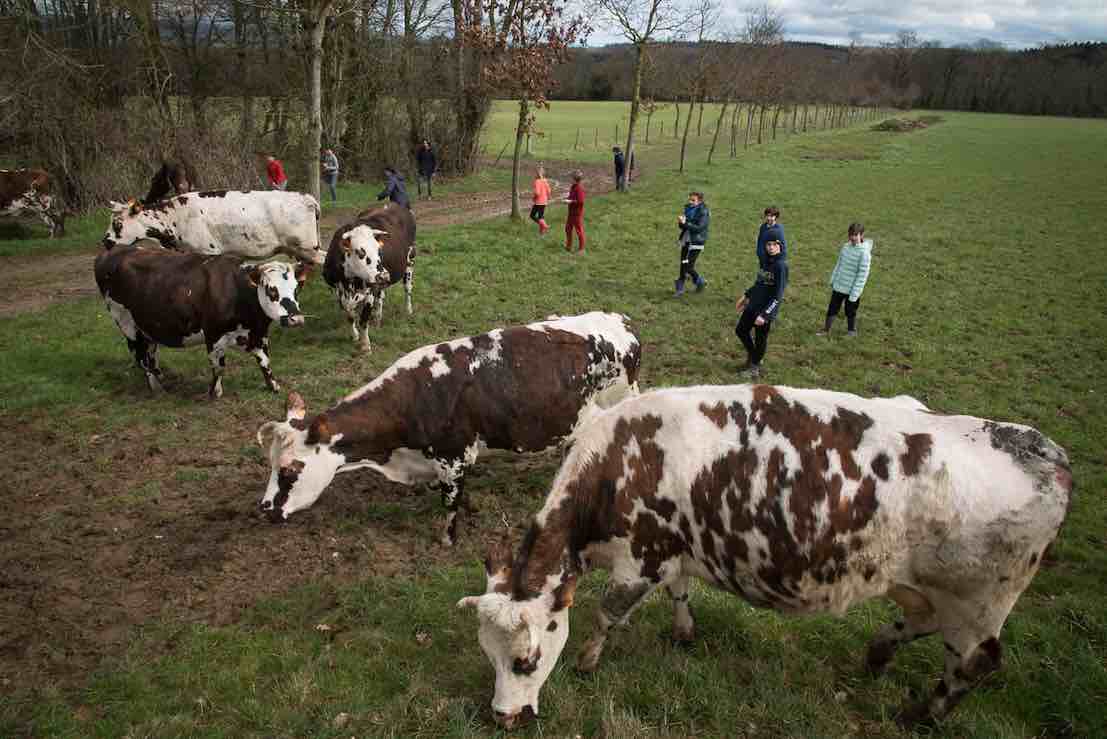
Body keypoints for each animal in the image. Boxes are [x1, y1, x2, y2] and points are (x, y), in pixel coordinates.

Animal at [95, 242, 309, 398]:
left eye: (297, 289)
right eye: (271, 290)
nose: (296, 318)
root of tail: (113, 251)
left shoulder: (259, 334)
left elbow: (265, 362)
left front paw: (273, 386)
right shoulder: (213, 335)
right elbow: (219, 367)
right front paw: (215, 392)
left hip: (147, 326)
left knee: (150, 352)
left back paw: (159, 374)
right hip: (126, 323)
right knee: (140, 356)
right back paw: (156, 387)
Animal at [102, 189, 323, 264]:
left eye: (117, 223)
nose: (105, 241)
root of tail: (306, 198)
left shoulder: (208, 252)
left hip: (307, 248)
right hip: (300, 250)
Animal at [255, 309, 646, 546]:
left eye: (289, 471)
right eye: (271, 466)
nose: (265, 510)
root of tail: (619, 320)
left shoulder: (453, 457)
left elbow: (450, 501)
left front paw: (448, 538)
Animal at [327, 202, 418, 351]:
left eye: (378, 249)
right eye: (359, 251)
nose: (384, 275)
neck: (349, 283)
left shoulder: (368, 292)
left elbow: (364, 320)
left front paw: (365, 345)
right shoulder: (338, 292)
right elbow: (350, 316)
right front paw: (355, 335)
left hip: (410, 261)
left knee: (407, 288)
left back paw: (408, 310)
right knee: (380, 296)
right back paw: (378, 317)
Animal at [458, 384, 1071, 730]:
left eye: (526, 661)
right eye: (485, 654)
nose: (503, 718)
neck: (619, 465)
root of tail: (1041, 449)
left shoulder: (643, 560)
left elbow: (608, 614)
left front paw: (587, 661)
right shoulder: (677, 554)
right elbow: (681, 593)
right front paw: (684, 631)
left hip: (978, 604)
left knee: (974, 664)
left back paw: (921, 714)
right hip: (927, 588)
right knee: (921, 623)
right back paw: (876, 655)